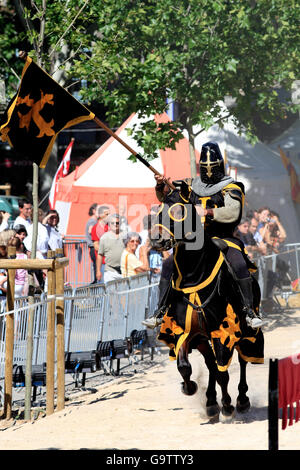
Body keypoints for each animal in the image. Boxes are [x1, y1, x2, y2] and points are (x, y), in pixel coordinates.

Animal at [149, 182, 262, 420]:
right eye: (159, 210)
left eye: (179, 212)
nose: (157, 240)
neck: (195, 274)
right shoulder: (186, 332)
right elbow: (185, 366)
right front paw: (190, 388)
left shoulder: (223, 331)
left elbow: (223, 373)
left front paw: (228, 405)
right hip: (202, 337)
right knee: (210, 365)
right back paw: (210, 401)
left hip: (245, 331)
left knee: (242, 360)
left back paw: (241, 400)